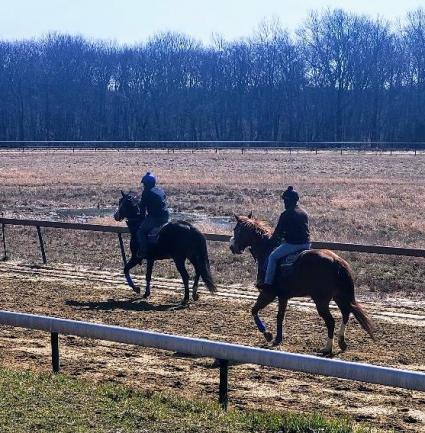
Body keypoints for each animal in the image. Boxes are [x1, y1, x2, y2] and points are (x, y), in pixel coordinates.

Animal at [229, 213, 374, 354]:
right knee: (345, 314)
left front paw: (267, 334)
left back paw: (327, 348)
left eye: (236, 229)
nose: (232, 247)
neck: (267, 250)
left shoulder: (268, 293)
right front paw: (277, 339)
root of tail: (336, 261)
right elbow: (280, 316)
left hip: (321, 300)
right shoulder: (283, 296)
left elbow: (254, 310)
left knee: (331, 321)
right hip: (339, 296)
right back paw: (341, 343)